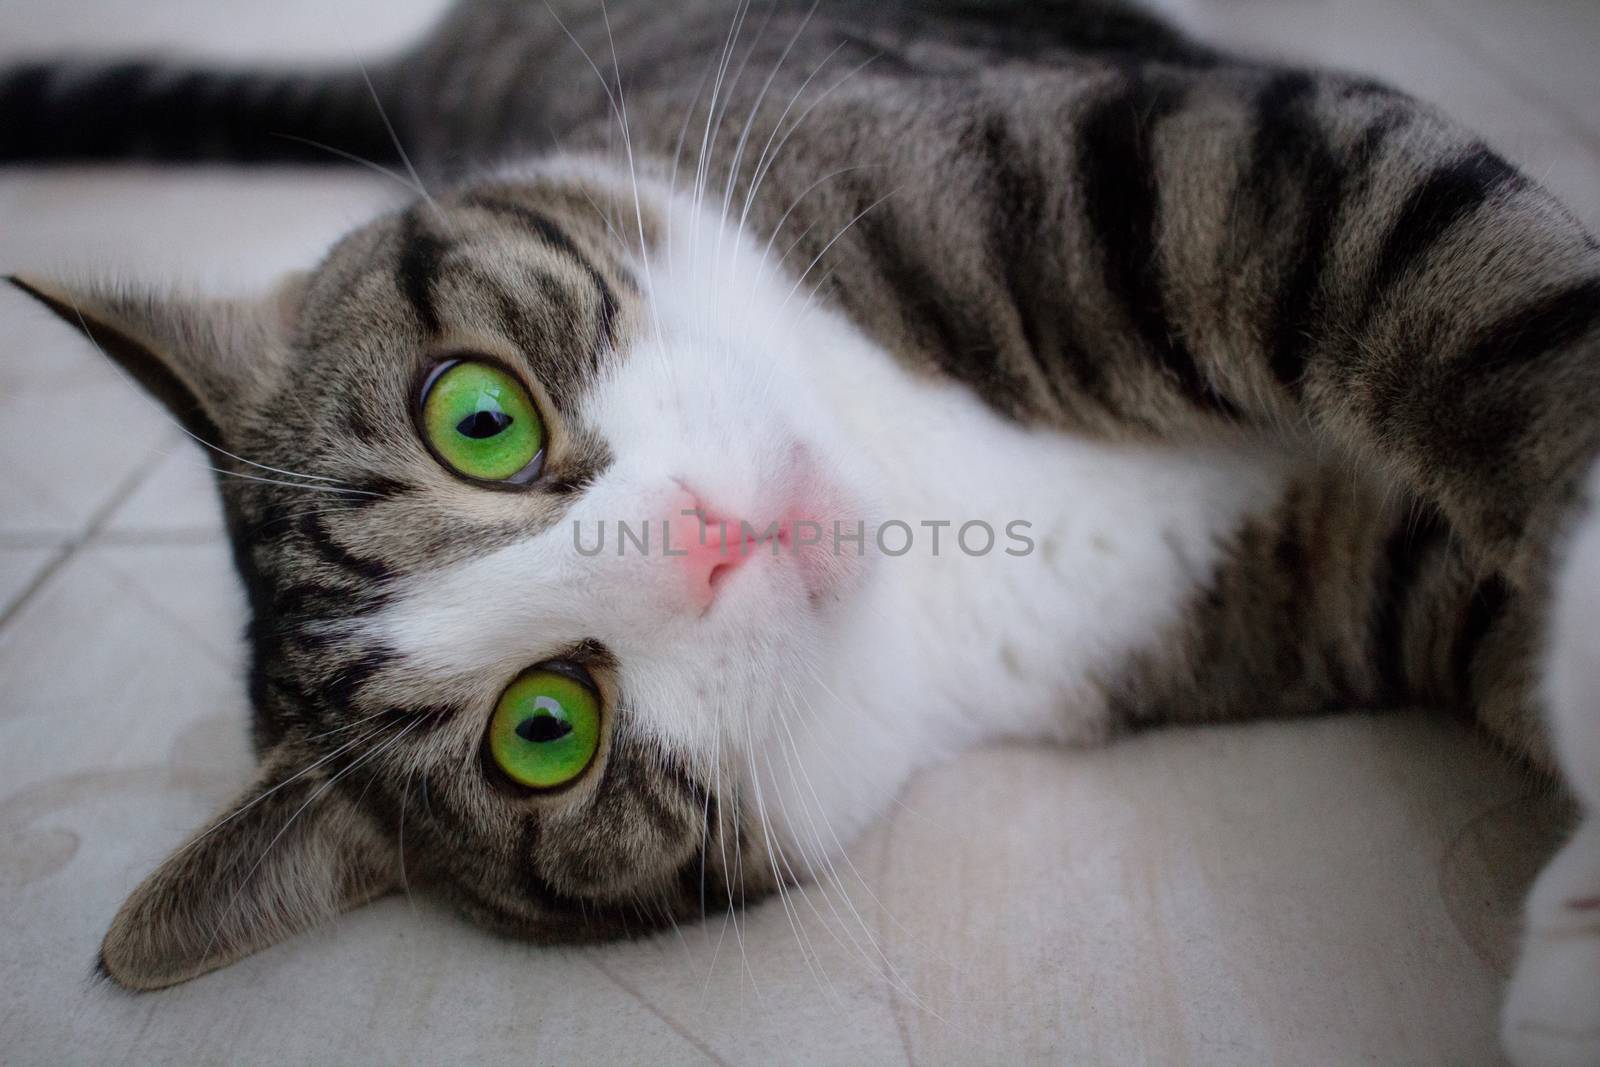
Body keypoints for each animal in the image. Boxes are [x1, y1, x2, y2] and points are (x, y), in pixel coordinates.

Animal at [3, 4, 1600, 1062]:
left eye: (478, 418)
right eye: (544, 729)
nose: (706, 535)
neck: (926, 493)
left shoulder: (1114, 169)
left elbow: (1452, 273)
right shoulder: (1266, 575)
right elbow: (1454, 580)